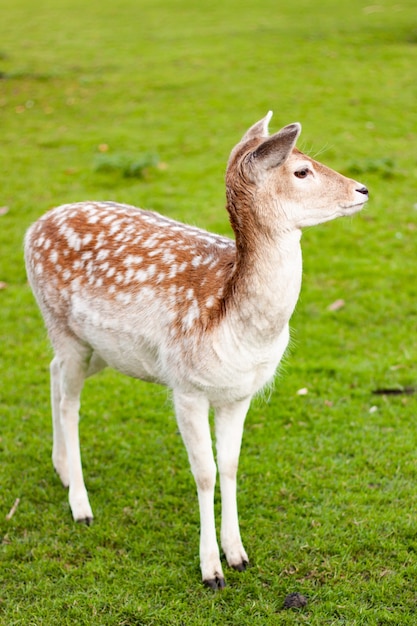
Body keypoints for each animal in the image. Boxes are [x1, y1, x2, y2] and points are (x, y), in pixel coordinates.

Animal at [23, 112, 368, 584]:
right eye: (301, 170)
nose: (362, 189)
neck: (236, 326)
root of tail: (31, 228)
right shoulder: (185, 387)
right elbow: (204, 473)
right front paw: (211, 569)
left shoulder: (239, 394)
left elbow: (231, 465)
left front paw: (237, 553)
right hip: (62, 325)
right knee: (69, 402)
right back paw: (80, 504)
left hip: (100, 350)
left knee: (54, 371)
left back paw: (60, 468)